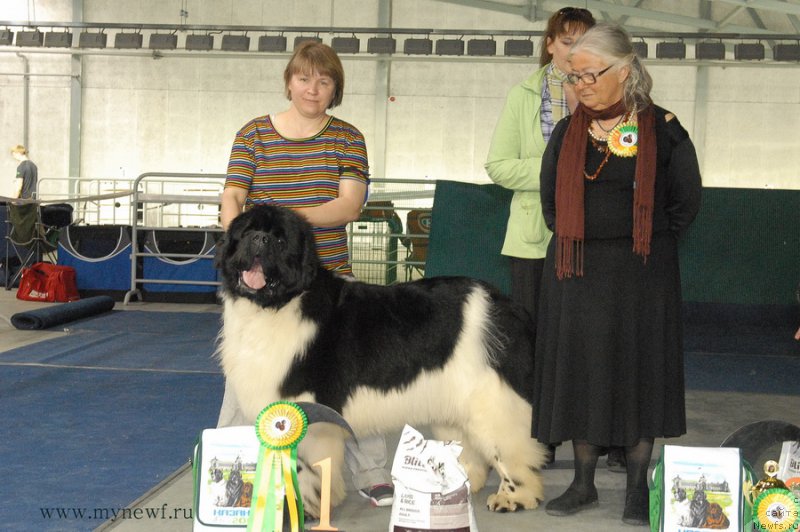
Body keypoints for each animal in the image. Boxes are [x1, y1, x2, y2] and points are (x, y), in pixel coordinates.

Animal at [216, 203, 548, 516]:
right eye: (247, 232)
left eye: (280, 239)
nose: (259, 239)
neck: (278, 305)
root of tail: (506, 305)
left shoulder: (305, 407)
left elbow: (305, 468)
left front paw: (304, 508)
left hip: (490, 398)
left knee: (510, 448)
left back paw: (513, 498)